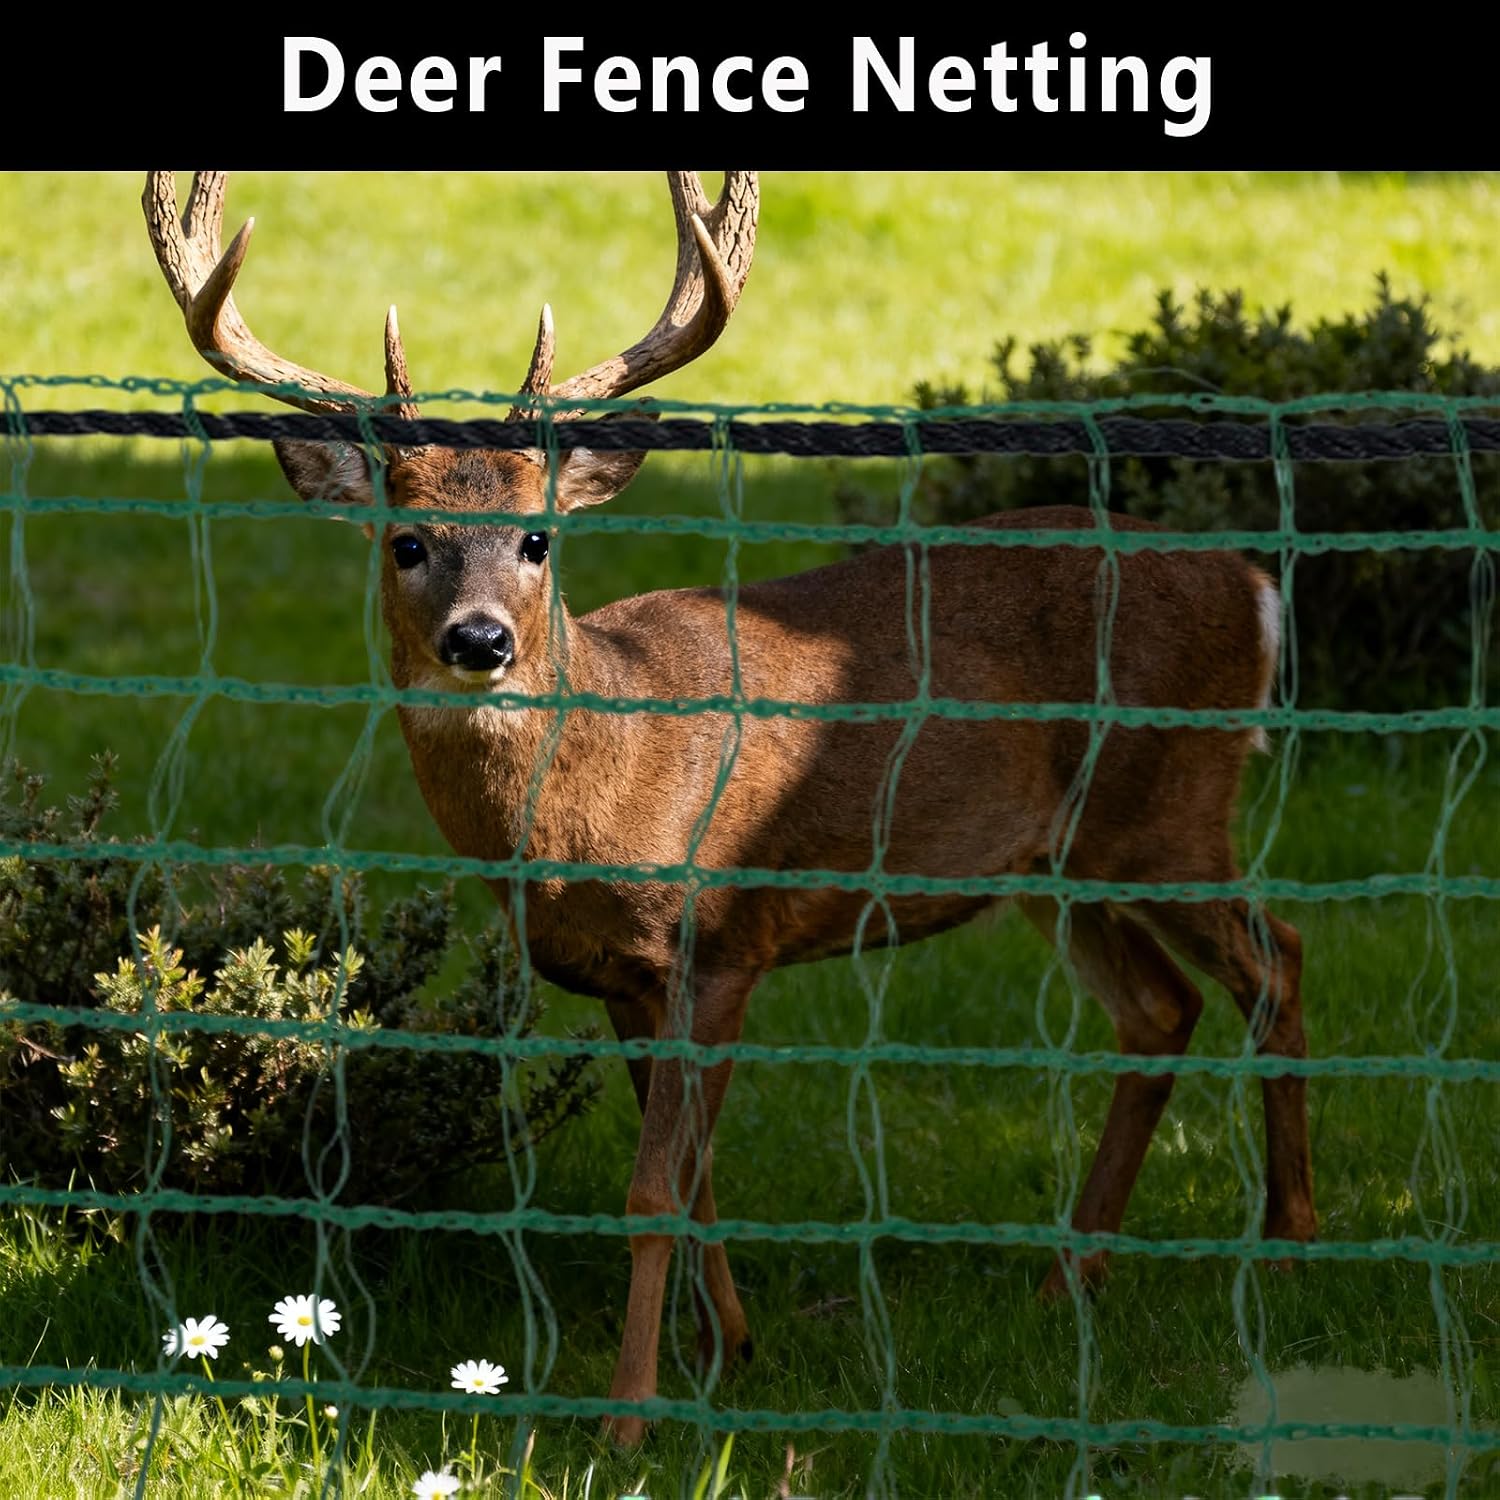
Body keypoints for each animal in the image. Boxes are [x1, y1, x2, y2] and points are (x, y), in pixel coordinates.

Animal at [143, 170, 1317, 1447]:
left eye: (537, 538)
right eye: (407, 541)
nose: (481, 641)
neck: (599, 787)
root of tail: (1254, 585)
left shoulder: (717, 944)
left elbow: (658, 1184)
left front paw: (629, 1420)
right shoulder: (619, 977)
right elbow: (697, 1172)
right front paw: (729, 1347)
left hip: (1169, 805)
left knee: (1278, 960)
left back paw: (1288, 1249)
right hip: (1056, 859)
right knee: (1161, 1009)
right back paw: (1069, 1278)